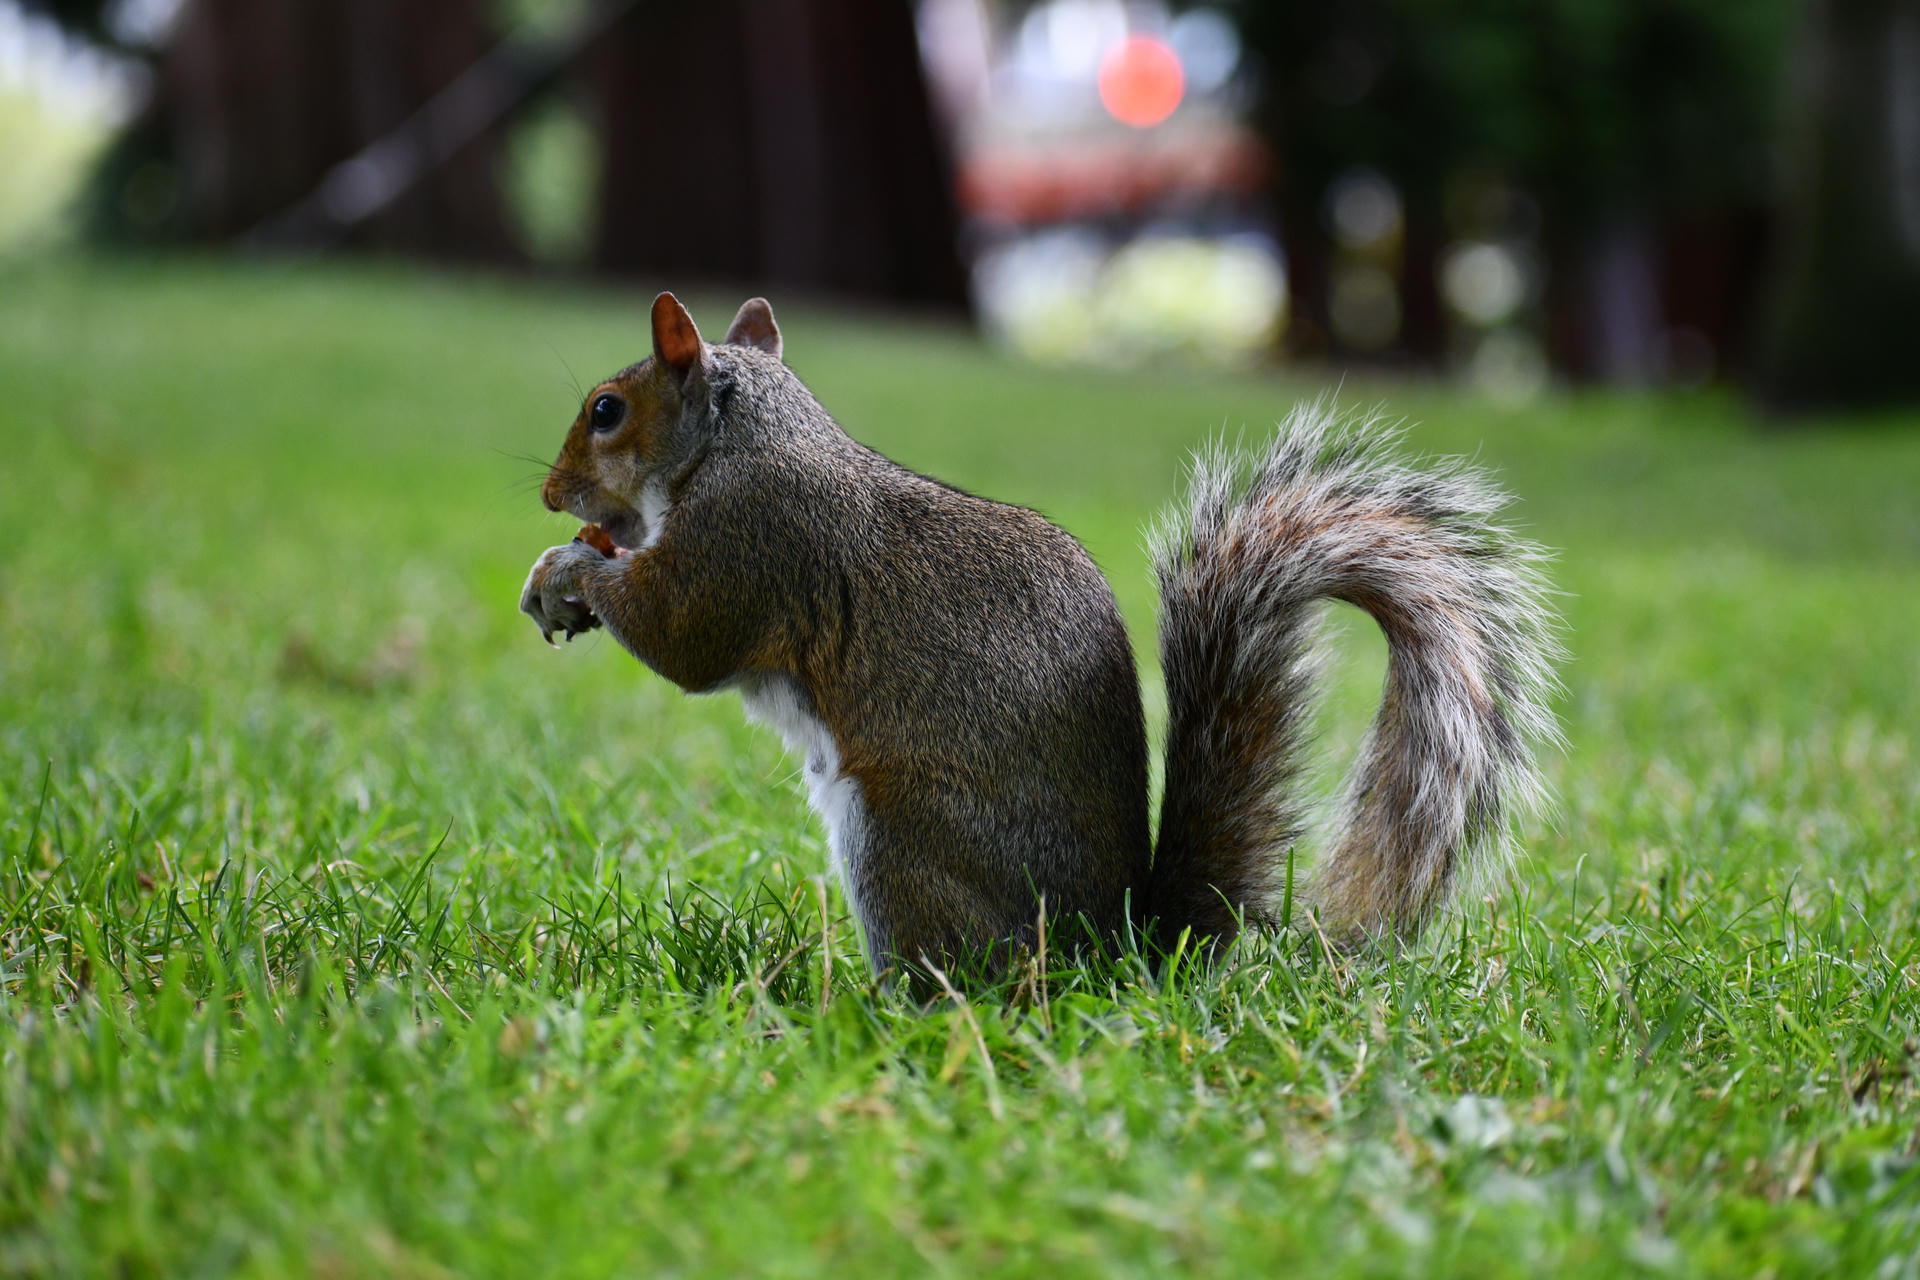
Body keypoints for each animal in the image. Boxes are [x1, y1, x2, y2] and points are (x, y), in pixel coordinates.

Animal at [521, 292, 1561, 983]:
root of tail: (1117, 950)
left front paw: (570, 572)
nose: (551, 492)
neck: (742, 442)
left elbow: (682, 638)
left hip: (899, 840)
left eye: (607, 411)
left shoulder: (748, 543)